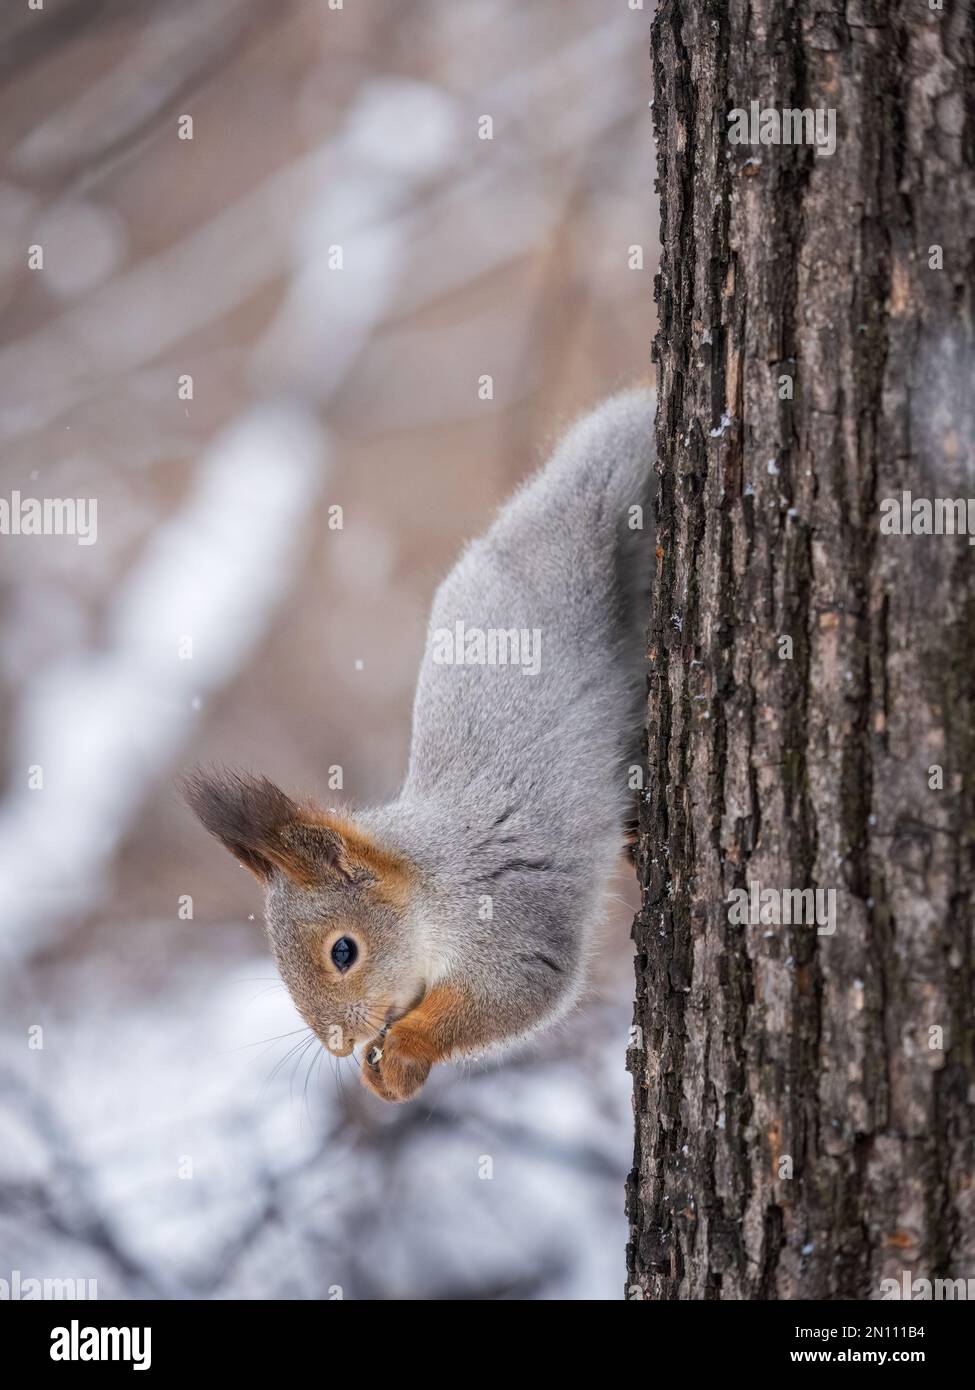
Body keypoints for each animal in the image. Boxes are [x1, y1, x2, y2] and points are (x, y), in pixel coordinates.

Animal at [185, 388, 656, 1101]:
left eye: (343, 951)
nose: (337, 1043)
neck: (434, 884)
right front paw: (376, 1072)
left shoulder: (510, 922)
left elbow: (514, 998)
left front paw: (405, 1051)